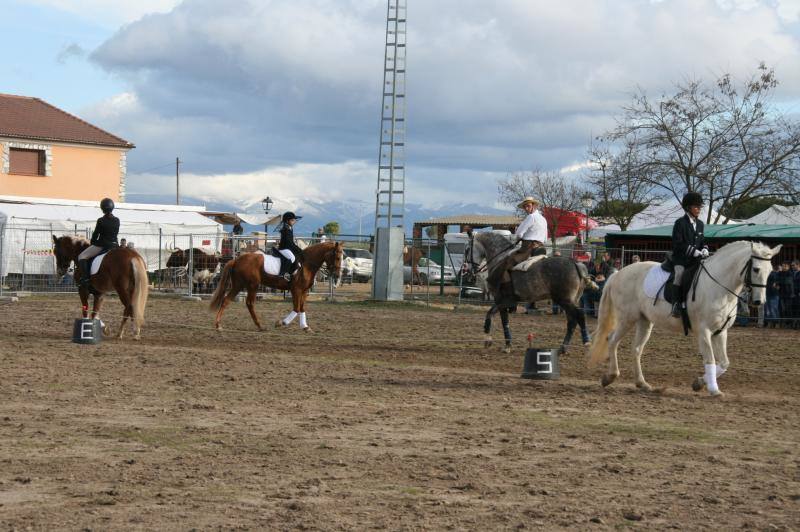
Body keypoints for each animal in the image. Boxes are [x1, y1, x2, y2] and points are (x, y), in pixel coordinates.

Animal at [209, 242, 344, 332]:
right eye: (337, 257)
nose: (337, 275)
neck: (306, 265)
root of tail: (236, 260)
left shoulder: (304, 291)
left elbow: (302, 308)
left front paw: (305, 327)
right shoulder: (296, 290)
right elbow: (296, 308)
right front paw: (281, 323)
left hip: (238, 285)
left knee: (226, 300)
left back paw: (218, 325)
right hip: (252, 285)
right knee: (249, 303)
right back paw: (260, 326)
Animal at [462, 233, 592, 354]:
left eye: (467, 250)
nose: (467, 272)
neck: (498, 260)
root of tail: (575, 264)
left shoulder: (501, 300)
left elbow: (493, 316)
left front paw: (491, 340)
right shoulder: (504, 302)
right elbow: (502, 319)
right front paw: (505, 344)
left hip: (564, 301)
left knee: (579, 315)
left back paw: (586, 341)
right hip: (568, 301)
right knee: (572, 322)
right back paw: (563, 348)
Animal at [588, 241, 780, 394]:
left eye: (770, 271)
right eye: (756, 269)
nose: (758, 301)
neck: (719, 287)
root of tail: (618, 274)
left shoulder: (720, 332)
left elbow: (724, 363)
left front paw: (699, 383)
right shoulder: (704, 331)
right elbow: (710, 359)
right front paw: (713, 390)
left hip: (644, 321)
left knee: (636, 349)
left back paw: (642, 384)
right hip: (627, 319)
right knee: (612, 340)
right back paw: (610, 377)